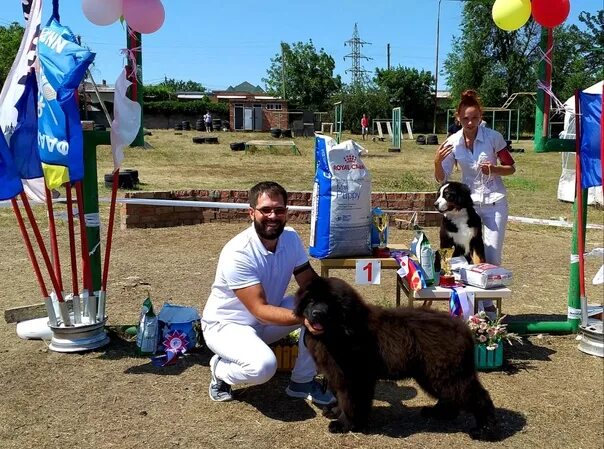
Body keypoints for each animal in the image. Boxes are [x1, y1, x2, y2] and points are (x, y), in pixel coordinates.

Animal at [294, 274, 498, 440]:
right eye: (311, 300)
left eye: (330, 303)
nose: (317, 313)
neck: (341, 330)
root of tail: (464, 330)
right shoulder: (338, 374)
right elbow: (341, 397)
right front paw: (336, 412)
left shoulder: (355, 377)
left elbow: (350, 400)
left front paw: (345, 424)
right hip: (433, 375)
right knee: (451, 397)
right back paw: (438, 413)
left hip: (446, 374)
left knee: (477, 396)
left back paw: (484, 430)